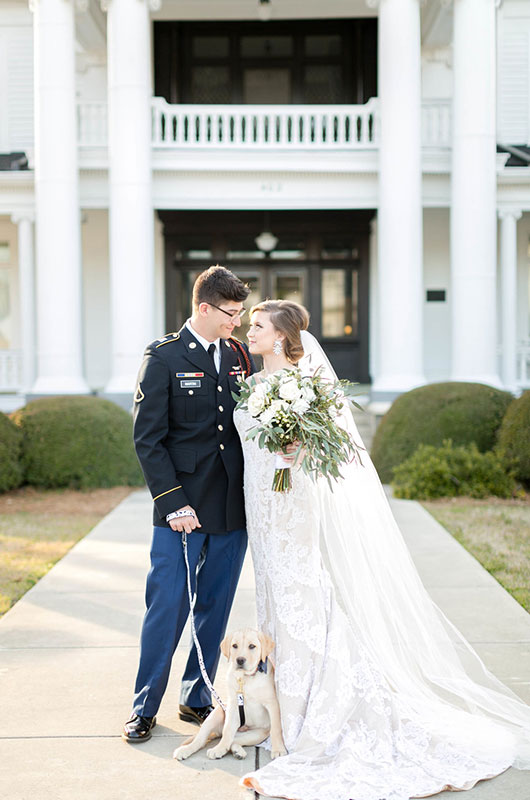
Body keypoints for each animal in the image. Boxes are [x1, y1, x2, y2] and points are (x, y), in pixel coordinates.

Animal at [172, 628, 284, 760]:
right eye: (234, 646)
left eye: (252, 646)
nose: (240, 660)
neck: (245, 678)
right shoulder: (233, 707)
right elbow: (228, 730)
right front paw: (219, 748)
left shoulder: (272, 704)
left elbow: (276, 729)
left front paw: (278, 750)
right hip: (215, 715)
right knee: (202, 740)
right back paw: (186, 750)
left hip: (257, 734)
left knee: (234, 741)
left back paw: (237, 751)